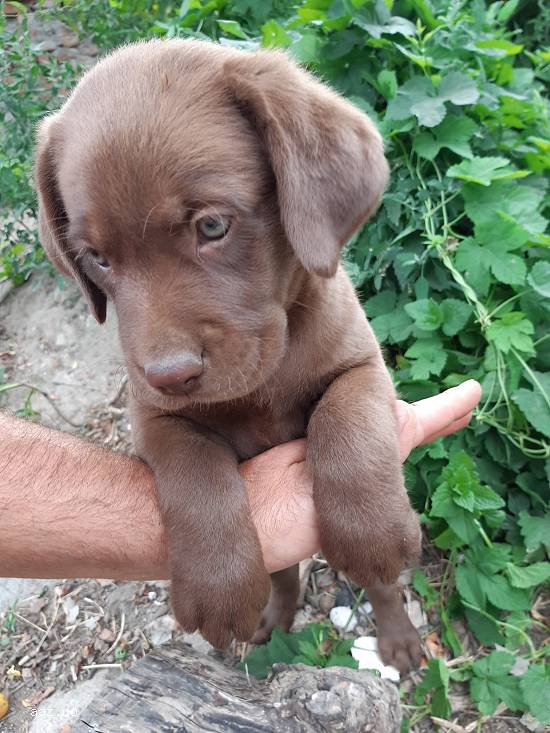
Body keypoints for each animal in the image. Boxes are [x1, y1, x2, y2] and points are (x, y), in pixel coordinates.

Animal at [36, 38, 424, 668]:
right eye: (97, 258)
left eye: (213, 226)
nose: (170, 375)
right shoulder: (153, 416)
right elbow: (195, 471)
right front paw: (219, 586)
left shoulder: (362, 365)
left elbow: (347, 419)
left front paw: (369, 528)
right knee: (285, 572)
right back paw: (274, 617)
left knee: (382, 585)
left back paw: (397, 636)